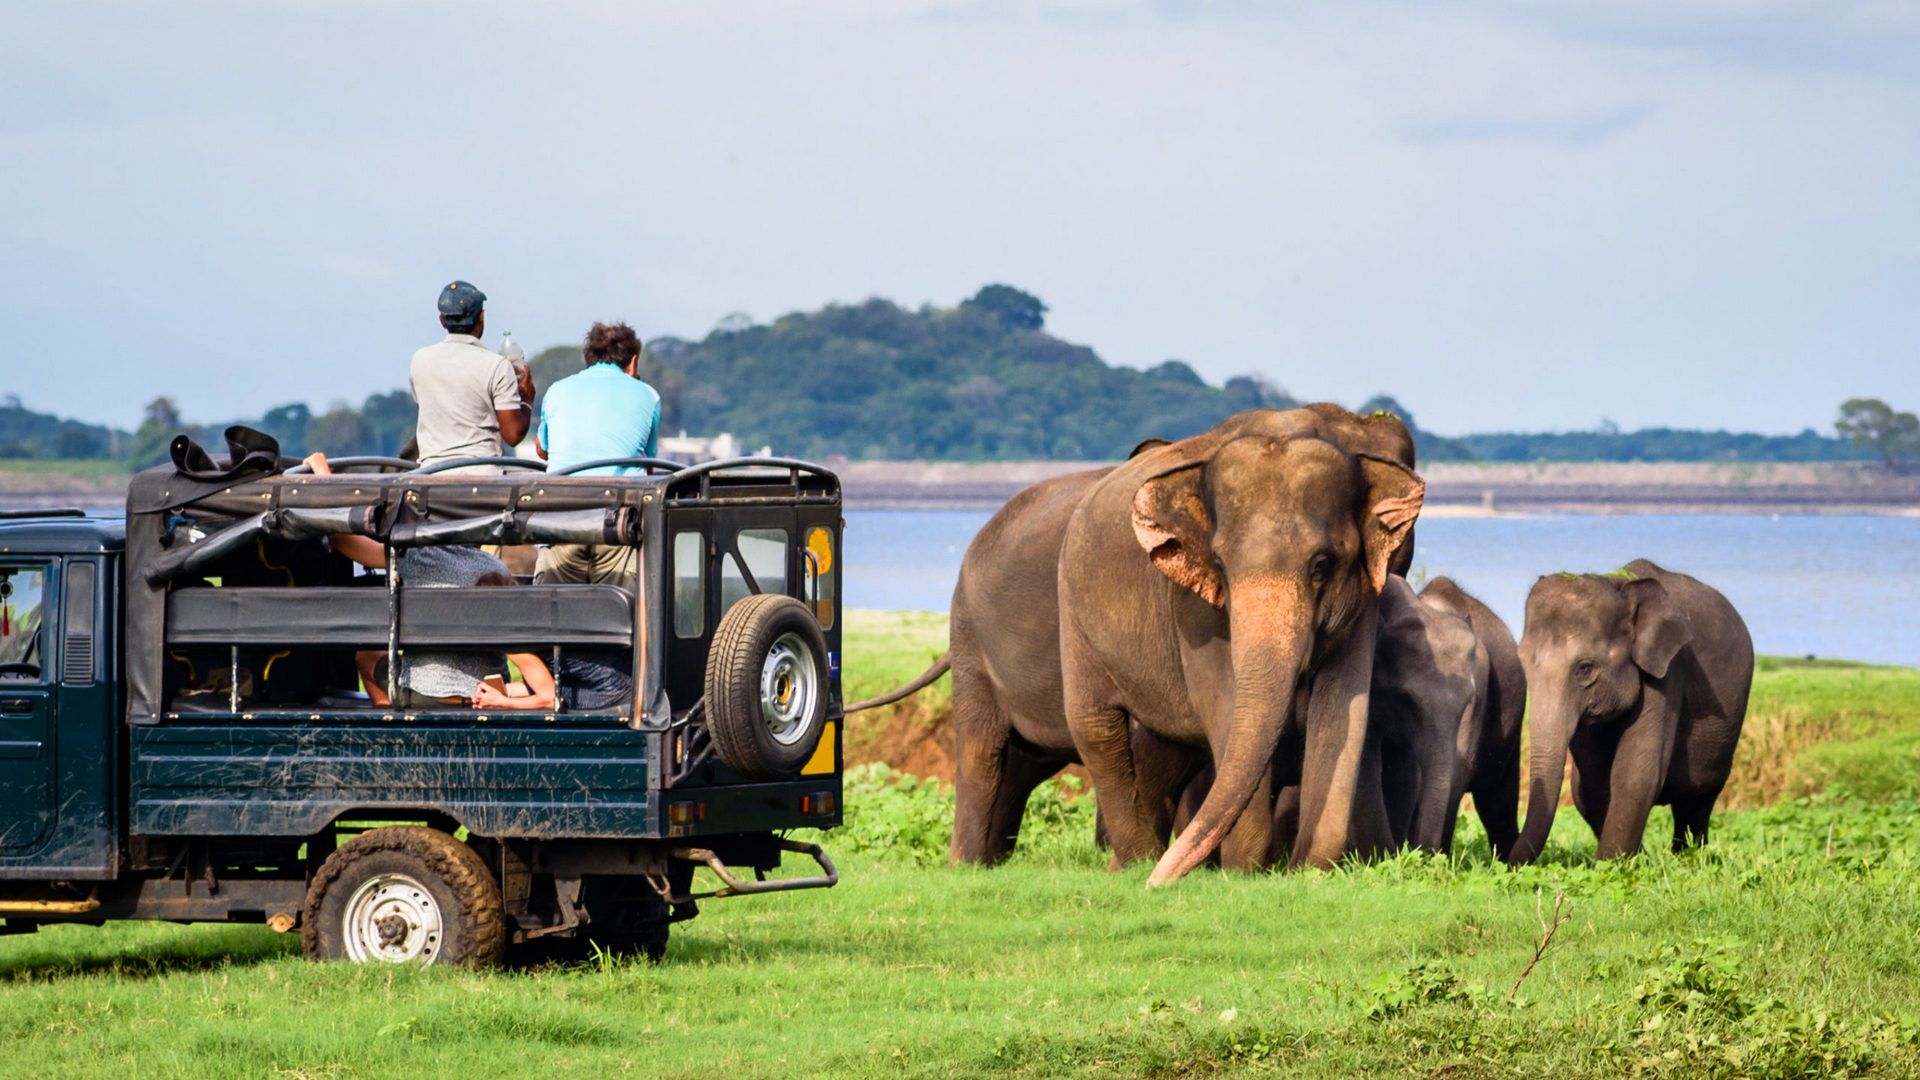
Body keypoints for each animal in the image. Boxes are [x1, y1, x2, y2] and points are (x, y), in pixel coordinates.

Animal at [1052, 407, 1428, 880]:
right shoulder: (1193, 607)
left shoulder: (1363, 598)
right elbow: (1225, 705)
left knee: (1162, 748)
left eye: (1322, 565)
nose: (1161, 885)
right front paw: (1245, 874)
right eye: (1219, 563)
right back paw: (1140, 866)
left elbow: (1344, 706)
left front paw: (1308, 872)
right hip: (1073, 610)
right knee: (1095, 725)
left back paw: (1134, 867)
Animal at [1505, 557, 1758, 860]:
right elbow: (1590, 785)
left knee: (1698, 799)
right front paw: (1631, 860)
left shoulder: (1668, 670)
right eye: (1522, 663)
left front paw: (1609, 865)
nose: (1505, 862)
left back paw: (1687, 857)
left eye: (1585, 668)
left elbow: (1635, 773)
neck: (1619, 585)